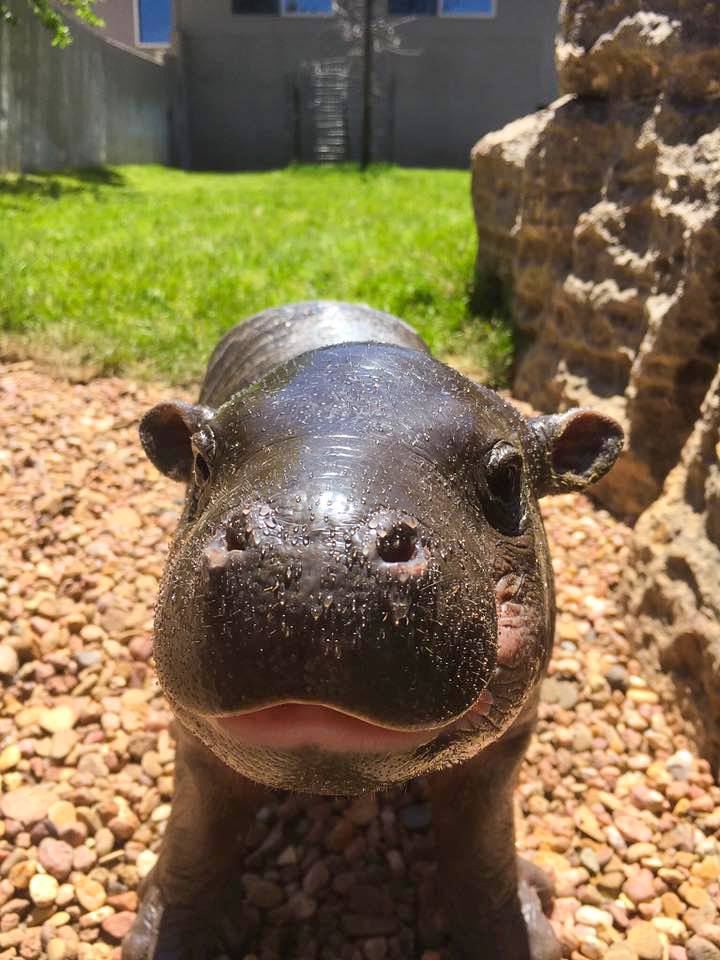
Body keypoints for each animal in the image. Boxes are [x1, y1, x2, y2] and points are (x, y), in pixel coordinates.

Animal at [122, 302, 620, 960]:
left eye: (510, 475)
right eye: (202, 463)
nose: (311, 551)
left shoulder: (512, 735)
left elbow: (483, 842)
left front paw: (529, 932)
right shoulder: (194, 737)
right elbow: (196, 829)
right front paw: (161, 938)